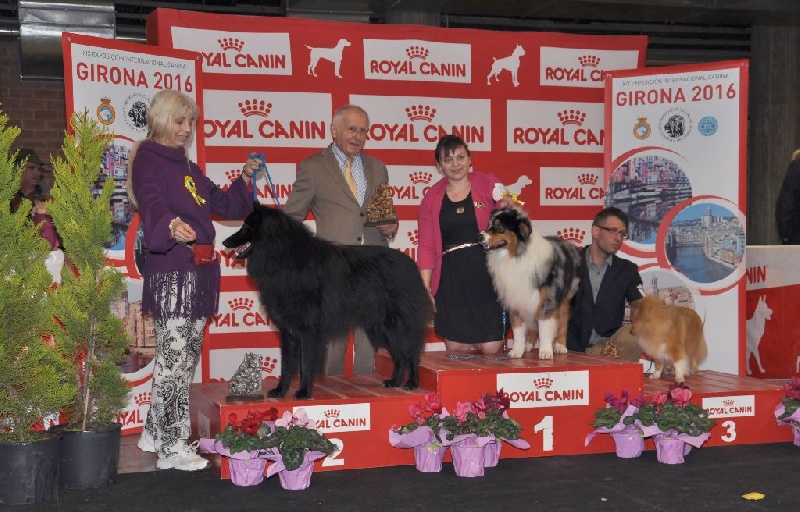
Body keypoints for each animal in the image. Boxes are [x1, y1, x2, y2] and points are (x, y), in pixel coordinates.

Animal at [222, 204, 431, 399]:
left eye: (247, 226)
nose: (225, 242)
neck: (284, 256)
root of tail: (412, 265)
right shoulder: (288, 332)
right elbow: (286, 365)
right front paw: (281, 391)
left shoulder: (308, 331)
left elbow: (306, 364)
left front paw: (304, 392)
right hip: (381, 328)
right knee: (400, 357)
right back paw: (394, 382)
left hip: (396, 326)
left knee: (411, 354)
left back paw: (412, 383)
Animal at [478, 207, 581, 359]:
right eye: (488, 225)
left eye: (500, 227)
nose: (479, 237)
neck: (516, 256)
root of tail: (570, 245)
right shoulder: (515, 298)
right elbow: (518, 331)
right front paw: (516, 351)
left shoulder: (547, 300)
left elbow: (545, 328)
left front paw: (545, 351)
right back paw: (528, 345)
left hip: (567, 298)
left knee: (562, 323)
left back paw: (560, 346)